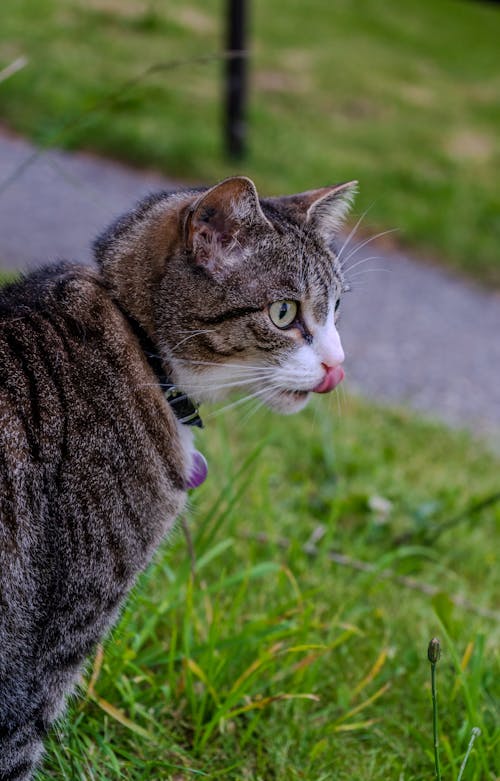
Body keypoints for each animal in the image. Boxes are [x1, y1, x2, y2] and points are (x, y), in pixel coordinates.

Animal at [0, 177, 356, 780]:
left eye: (335, 308)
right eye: (284, 312)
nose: (338, 366)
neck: (137, 344)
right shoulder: (47, 646)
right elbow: (18, 744)